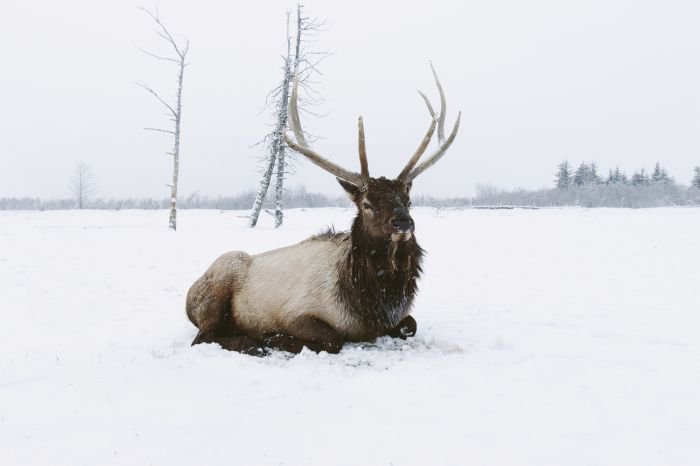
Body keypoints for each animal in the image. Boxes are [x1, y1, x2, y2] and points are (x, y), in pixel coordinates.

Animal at [186, 64, 460, 356]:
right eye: (367, 204)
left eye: (408, 201)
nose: (403, 223)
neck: (374, 304)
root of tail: (188, 300)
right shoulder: (296, 313)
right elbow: (332, 339)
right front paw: (271, 337)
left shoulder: (399, 318)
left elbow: (411, 325)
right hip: (223, 274)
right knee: (202, 337)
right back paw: (251, 341)